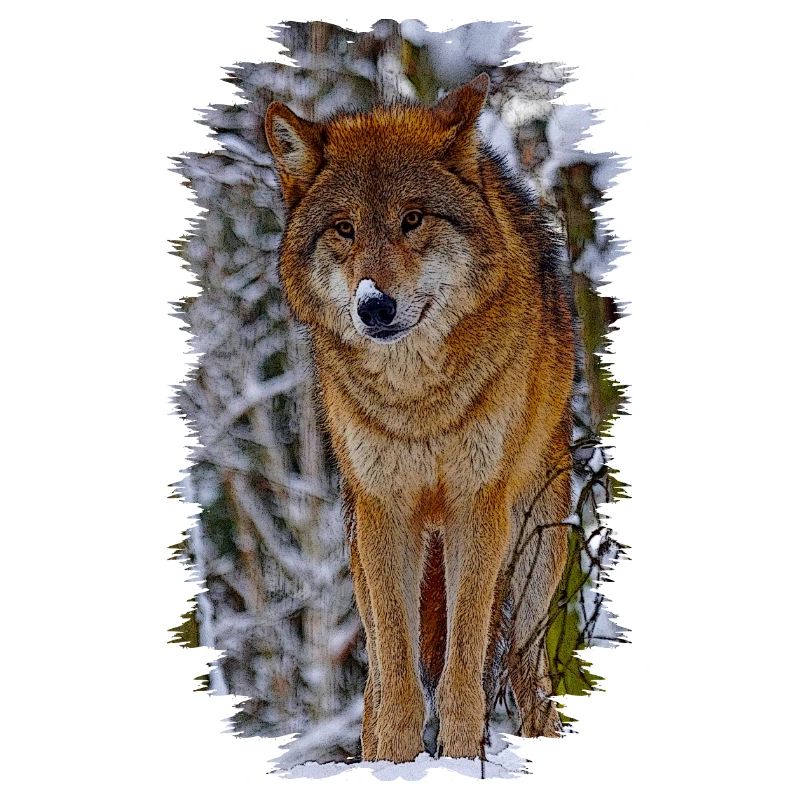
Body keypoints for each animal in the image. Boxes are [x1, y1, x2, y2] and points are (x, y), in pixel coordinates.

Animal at [265, 73, 576, 763]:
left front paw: (459, 759)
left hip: (537, 558)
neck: (417, 401)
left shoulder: (475, 506)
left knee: (527, 676)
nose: (374, 306)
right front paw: (396, 766)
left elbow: (461, 672)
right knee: (378, 678)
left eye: (413, 219)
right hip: (362, 552)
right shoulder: (385, 511)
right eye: (345, 228)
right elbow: (401, 682)